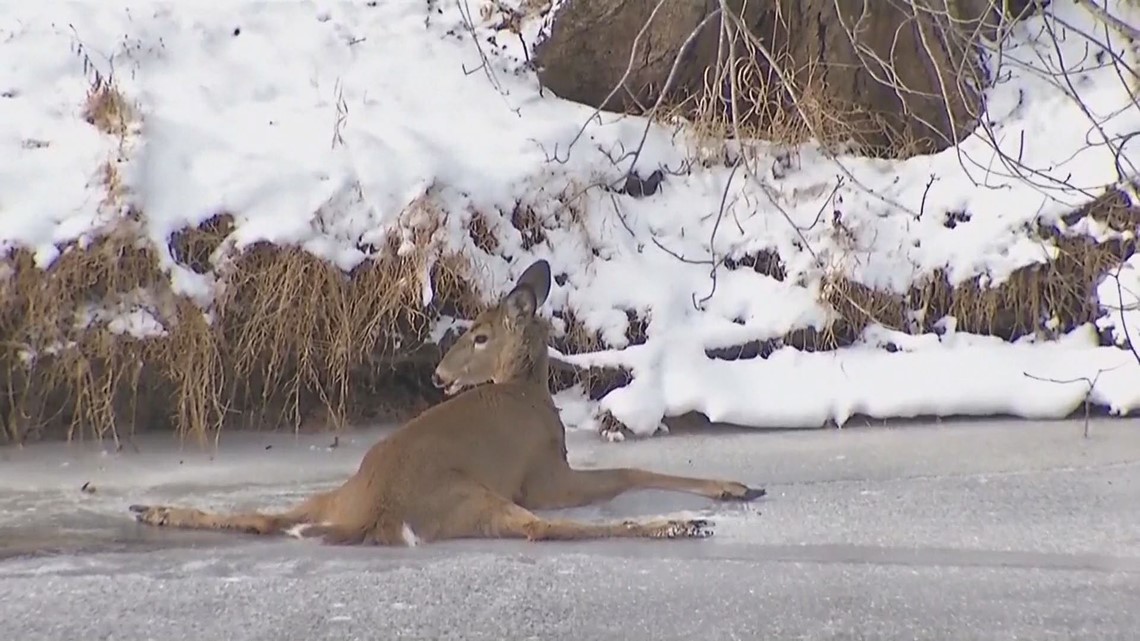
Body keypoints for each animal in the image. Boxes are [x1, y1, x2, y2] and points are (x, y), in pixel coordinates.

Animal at [128, 258, 766, 545]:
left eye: (479, 336)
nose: (437, 375)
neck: (524, 391)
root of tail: (379, 509)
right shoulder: (544, 474)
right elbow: (630, 469)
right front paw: (730, 487)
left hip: (338, 492)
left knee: (269, 517)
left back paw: (153, 509)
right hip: (472, 495)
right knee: (541, 529)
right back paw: (679, 524)